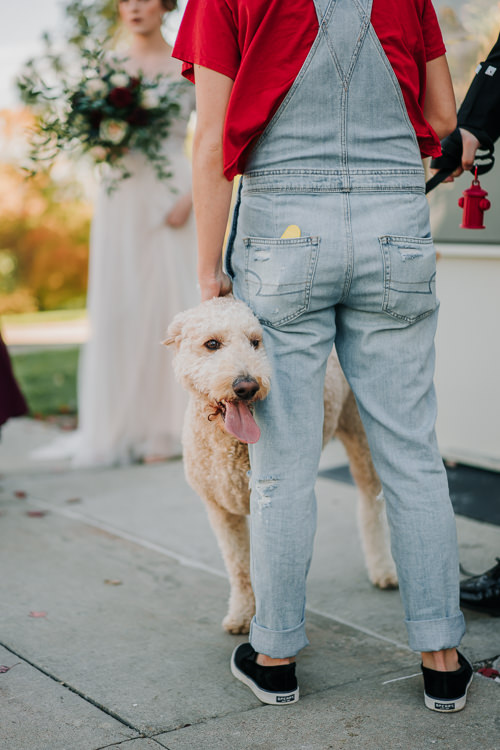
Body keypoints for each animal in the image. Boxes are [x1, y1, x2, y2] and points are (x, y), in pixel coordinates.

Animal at [166, 294, 396, 636]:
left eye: (255, 342)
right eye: (212, 344)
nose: (246, 386)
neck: (229, 444)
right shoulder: (221, 510)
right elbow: (240, 567)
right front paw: (242, 614)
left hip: (361, 439)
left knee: (372, 505)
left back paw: (383, 568)